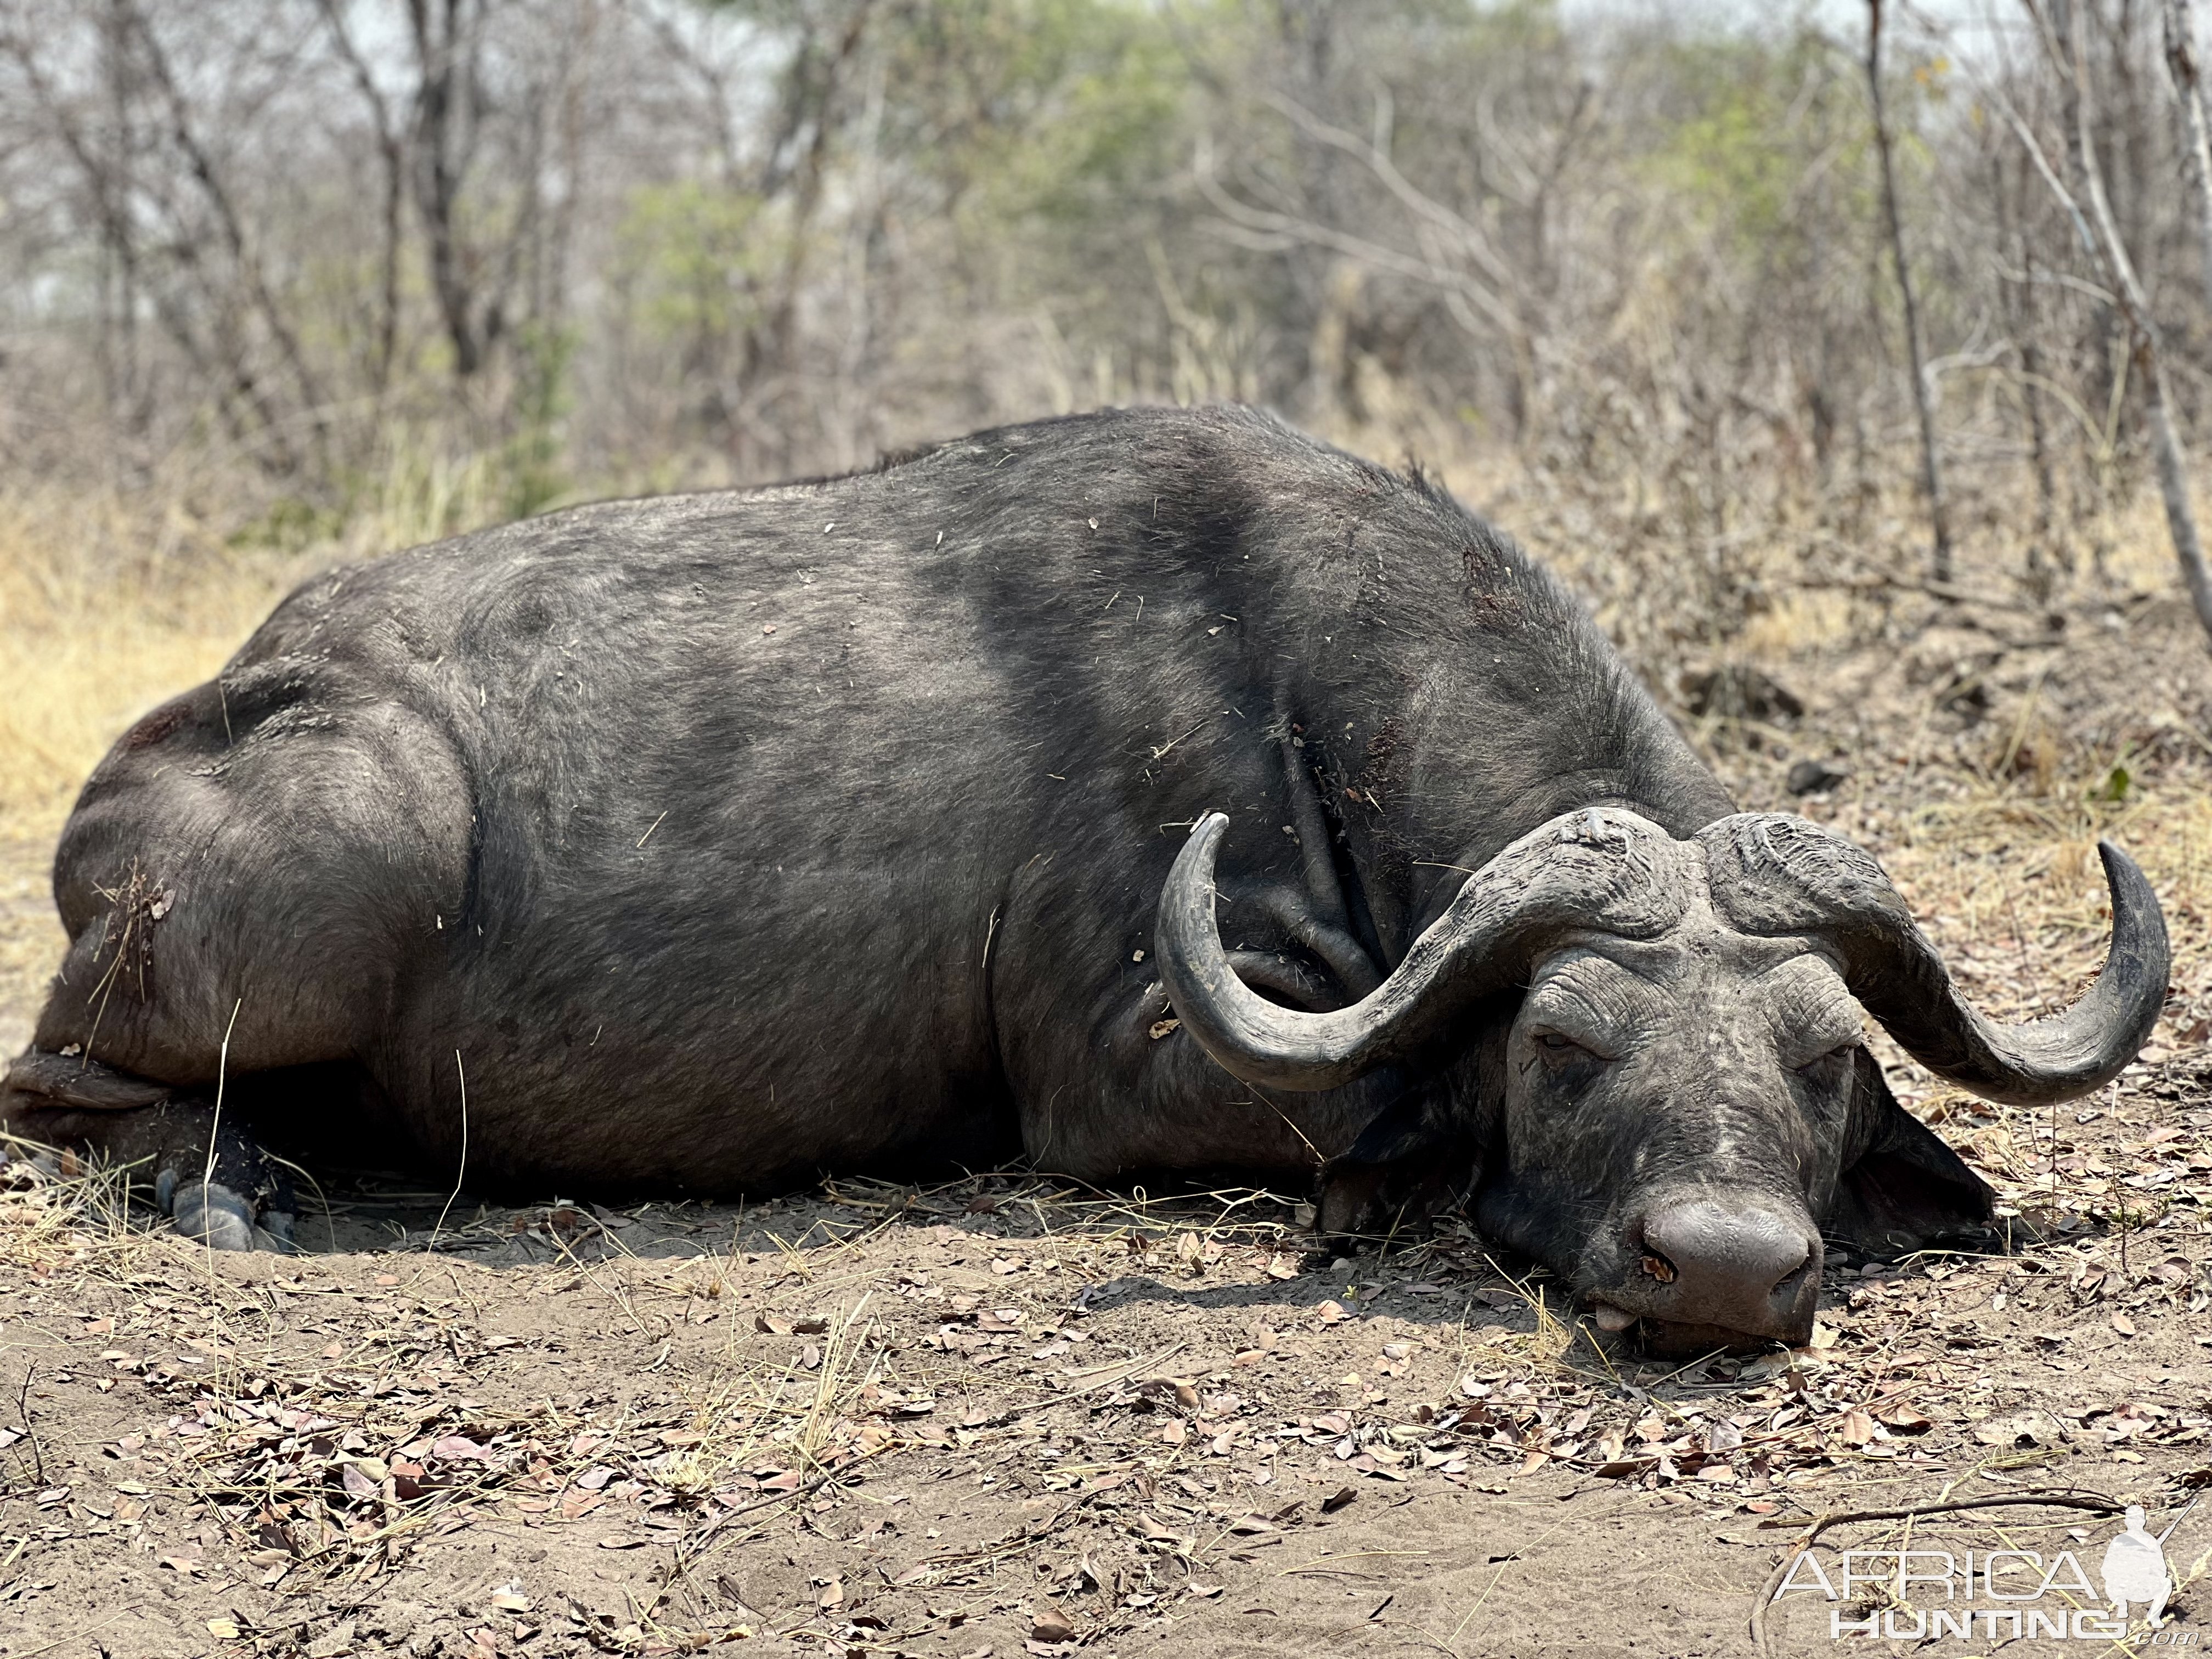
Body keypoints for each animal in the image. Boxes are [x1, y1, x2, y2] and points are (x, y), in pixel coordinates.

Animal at [0, 402, 2168, 1353]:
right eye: (1560, 1043)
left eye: (1823, 1059)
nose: (1720, 1266)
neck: (1309, 690)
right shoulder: (1112, 1075)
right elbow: (1387, 1104)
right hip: (356, 852)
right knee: (57, 1090)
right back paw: (245, 1185)